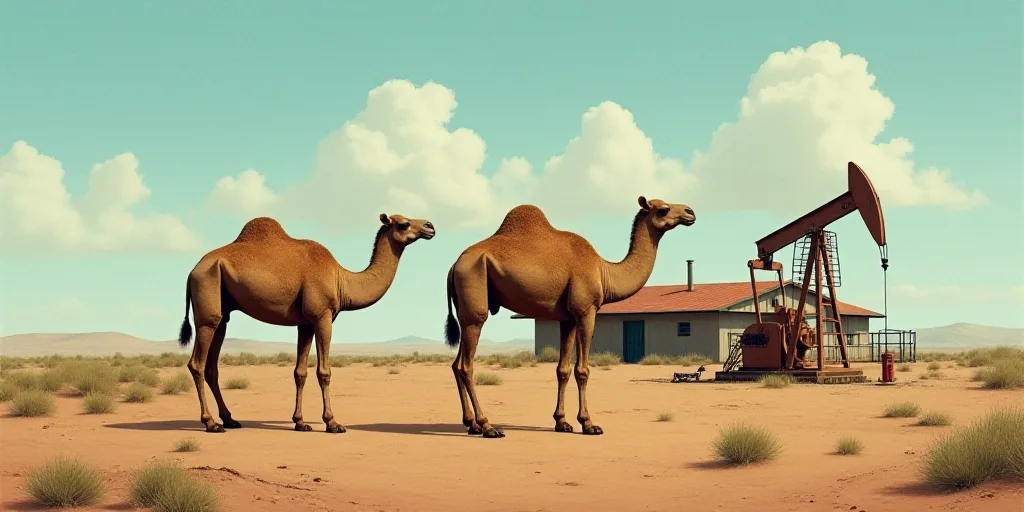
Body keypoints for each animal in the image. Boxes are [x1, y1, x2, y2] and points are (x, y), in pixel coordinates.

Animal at [177, 213, 435, 433]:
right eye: (403, 223)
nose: (430, 226)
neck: (342, 279)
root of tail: (192, 271)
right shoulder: (322, 315)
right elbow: (324, 371)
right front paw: (332, 423)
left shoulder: (305, 323)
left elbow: (300, 372)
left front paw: (300, 422)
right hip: (207, 304)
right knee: (197, 363)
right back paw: (211, 423)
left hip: (223, 314)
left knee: (212, 366)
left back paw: (230, 419)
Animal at [443, 196, 695, 438]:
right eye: (663, 209)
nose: (690, 212)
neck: (605, 272)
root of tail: (454, 265)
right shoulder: (586, 311)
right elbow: (582, 370)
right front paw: (589, 424)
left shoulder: (568, 319)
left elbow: (562, 369)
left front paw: (562, 422)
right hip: (475, 301)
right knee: (466, 365)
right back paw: (488, 427)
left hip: (465, 313)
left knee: (456, 364)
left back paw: (471, 424)